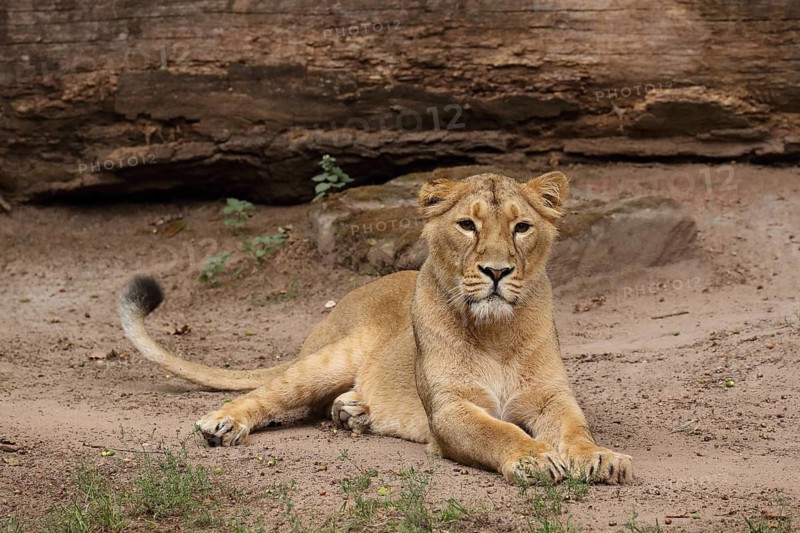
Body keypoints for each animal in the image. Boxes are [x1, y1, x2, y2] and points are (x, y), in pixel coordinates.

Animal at [120, 171, 632, 484]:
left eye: (521, 227)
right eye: (467, 225)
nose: (496, 271)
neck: (496, 332)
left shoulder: (551, 397)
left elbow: (576, 428)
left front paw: (599, 458)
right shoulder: (448, 410)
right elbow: (499, 433)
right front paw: (534, 456)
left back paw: (354, 412)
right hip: (329, 358)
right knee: (271, 394)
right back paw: (224, 423)